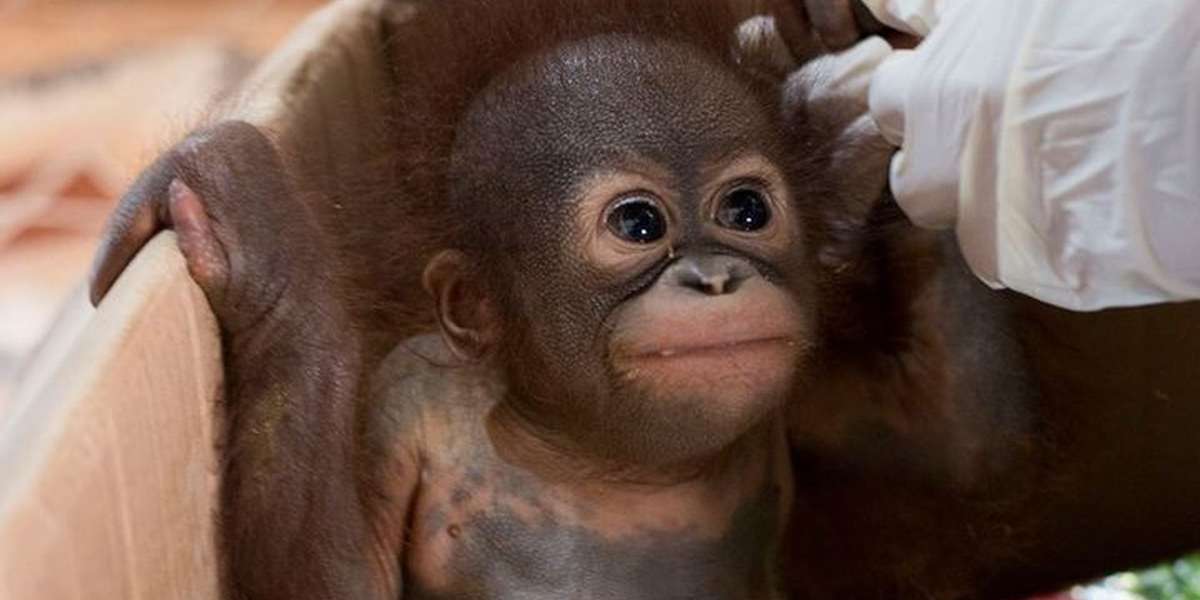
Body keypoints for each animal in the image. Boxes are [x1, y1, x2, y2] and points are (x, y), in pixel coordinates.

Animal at [85, 0, 1200, 598]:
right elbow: (338, 582)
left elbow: (964, 446)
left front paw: (864, 114)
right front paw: (263, 230)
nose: (715, 276)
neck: (597, 458)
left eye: (747, 209)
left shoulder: (796, 391)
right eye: (636, 226)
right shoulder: (405, 399)